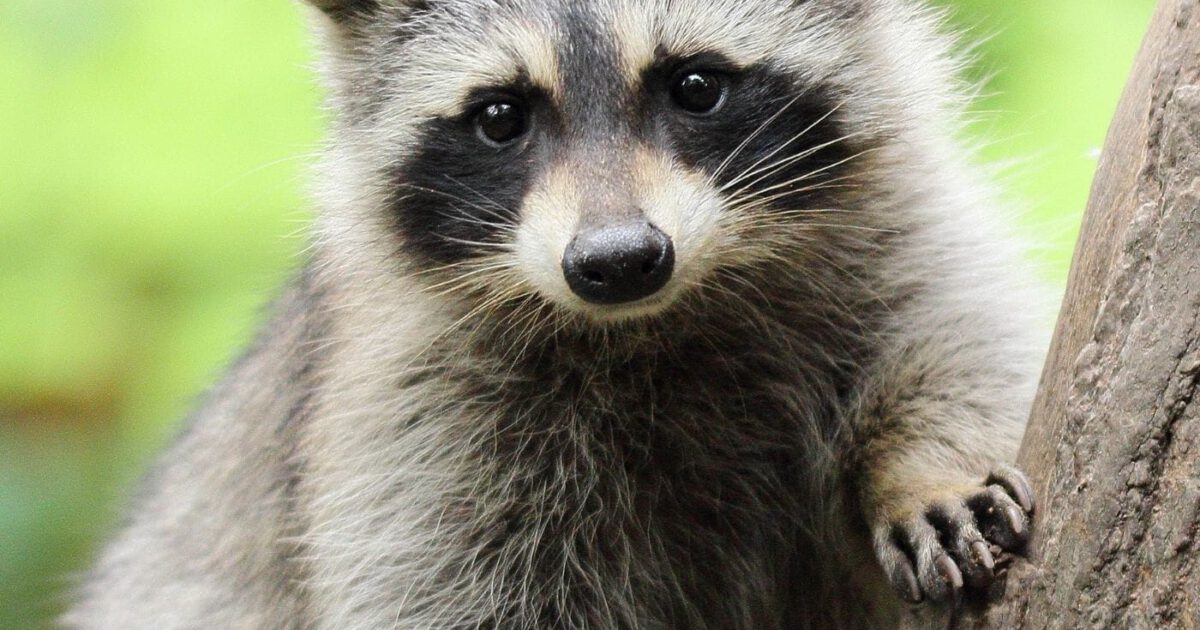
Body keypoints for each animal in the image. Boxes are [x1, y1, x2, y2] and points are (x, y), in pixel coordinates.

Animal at [65, 0, 1049, 628]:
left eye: (696, 85)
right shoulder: (416, 421)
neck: (656, 320)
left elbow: (960, 343)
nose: (617, 261)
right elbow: (446, 592)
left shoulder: (899, 235)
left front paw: (926, 466)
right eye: (502, 115)